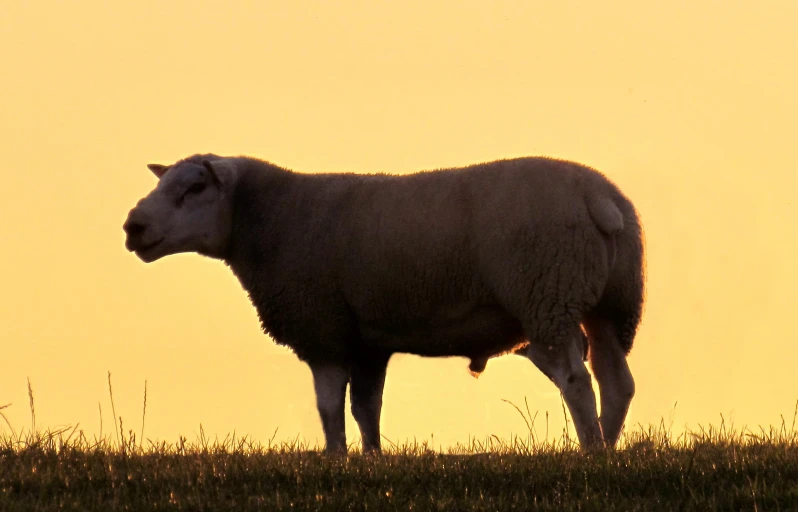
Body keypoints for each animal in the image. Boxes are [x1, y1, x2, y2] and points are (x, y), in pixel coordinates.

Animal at [126, 151, 648, 452]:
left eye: (195, 188)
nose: (133, 227)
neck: (268, 220)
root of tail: (598, 197)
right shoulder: (367, 341)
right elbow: (366, 407)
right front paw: (372, 461)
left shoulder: (323, 330)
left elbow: (329, 407)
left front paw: (334, 461)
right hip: (610, 304)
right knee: (616, 382)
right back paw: (608, 448)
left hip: (548, 294)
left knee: (576, 380)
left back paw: (589, 453)